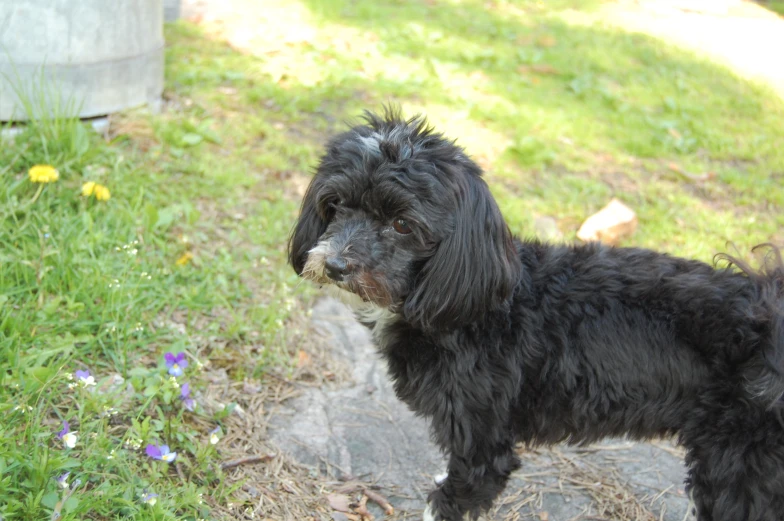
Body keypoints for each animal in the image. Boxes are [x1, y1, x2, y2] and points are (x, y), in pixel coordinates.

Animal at [290, 107, 784, 516]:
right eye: (335, 204)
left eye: (402, 224)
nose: (335, 265)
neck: (475, 311)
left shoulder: (482, 438)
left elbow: (457, 494)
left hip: (740, 462)